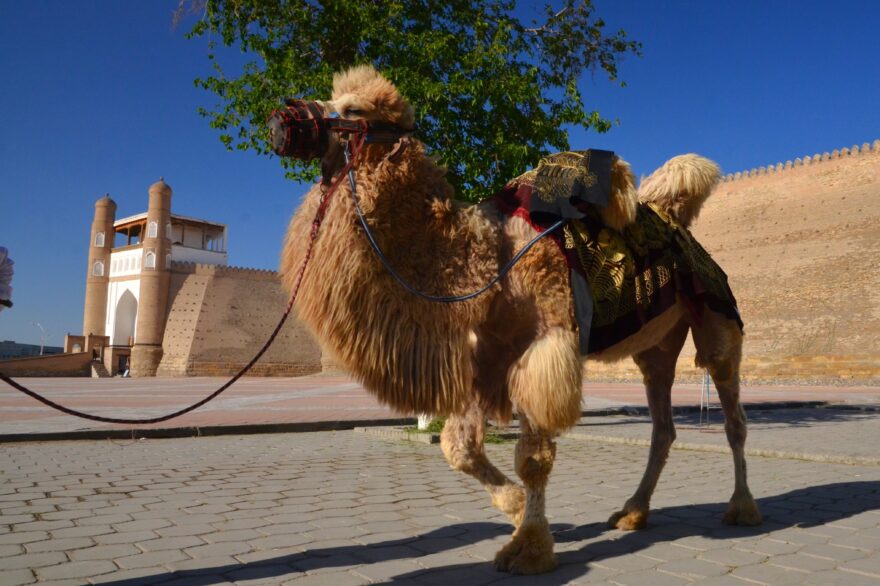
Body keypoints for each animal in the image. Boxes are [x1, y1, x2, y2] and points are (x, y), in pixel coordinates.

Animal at [278, 66, 760, 572]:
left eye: (352, 109)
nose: (284, 117)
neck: (485, 259)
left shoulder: (546, 347)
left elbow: (532, 457)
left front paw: (529, 548)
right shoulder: (486, 358)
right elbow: (459, 448)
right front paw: (513, 510)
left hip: (716, 318)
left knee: (733, 416)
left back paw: (742, 508)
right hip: (656, 348)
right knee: (663, 426)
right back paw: (632, 512)